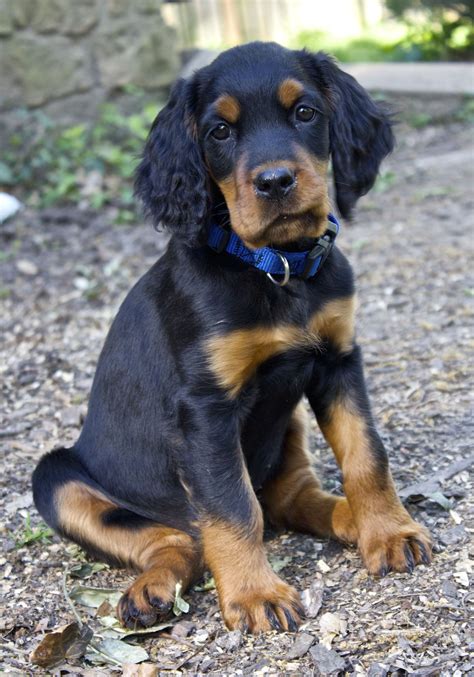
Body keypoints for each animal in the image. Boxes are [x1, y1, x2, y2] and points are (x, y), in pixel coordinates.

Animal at [32, 43, 434, 632]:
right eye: (219, 131)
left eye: (305, 113)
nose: (275, 182)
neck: (275, 267)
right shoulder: (205, 409)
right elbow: (232, 504)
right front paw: (254, 593)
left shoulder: (338, 360)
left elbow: (366, 454)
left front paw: (388, 530)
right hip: (56, 478)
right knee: (182, 540)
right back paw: (153, 588)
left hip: (288, 425)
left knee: (287, 499)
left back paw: (348, 518)